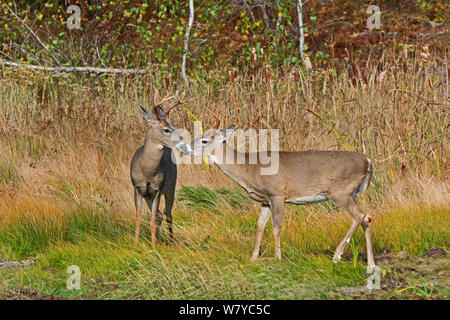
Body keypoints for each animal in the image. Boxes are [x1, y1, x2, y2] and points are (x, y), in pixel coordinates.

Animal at [130, 95, 188, 242]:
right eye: (166, 129)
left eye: (174, 126)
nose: (183, 146)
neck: (147, 172)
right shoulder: (138, 189)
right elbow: (138, 218)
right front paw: (135, 243)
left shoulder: (157, 190)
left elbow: (152, 220)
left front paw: (153, 245)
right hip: (149, 196)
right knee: (161, 215)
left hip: (171, 188)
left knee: (168, 215)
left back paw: (171, 241)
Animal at [181, 111, 374, 268]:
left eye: (204, 140)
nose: (182, 147)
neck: (251, 169)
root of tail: (368, 161)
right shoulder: (265, 200)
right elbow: (259, 225)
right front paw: (253, 257)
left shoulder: (277, 194)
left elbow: (276, 226)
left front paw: (277, 258)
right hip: (352, 194)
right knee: (366, 218)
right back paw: (371, 264)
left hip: (340, 192)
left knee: (359, 216)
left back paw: (336, 256)